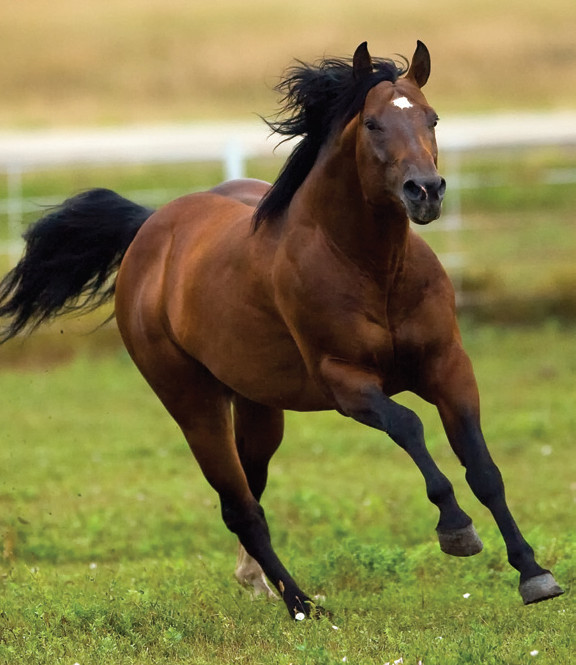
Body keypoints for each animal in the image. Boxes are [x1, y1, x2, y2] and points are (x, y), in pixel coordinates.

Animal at [0, 44, 564, 620]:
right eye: (373, 123)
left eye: (432, 118)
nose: (425, 192)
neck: (373, 268)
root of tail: (151, 229)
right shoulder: (346, 383)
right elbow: (408, 426)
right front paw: (456, 530)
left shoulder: (448, 366)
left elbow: (484, 468)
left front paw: (534, 573)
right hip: (193, 403)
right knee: (240, 507)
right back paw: (302, 605)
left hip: (258, 406)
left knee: (252, 488)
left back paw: (256, 581)